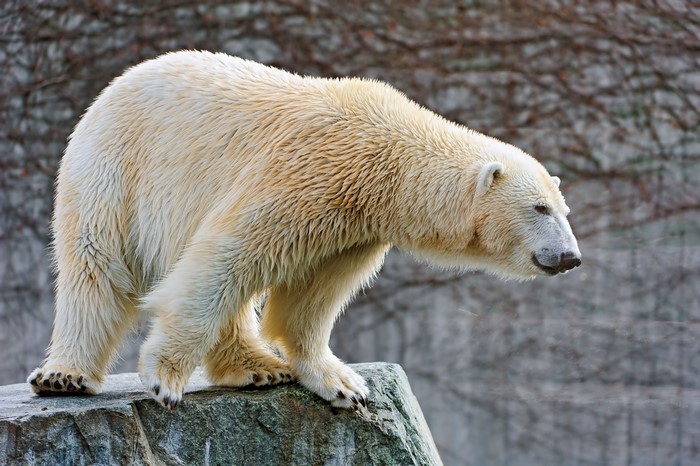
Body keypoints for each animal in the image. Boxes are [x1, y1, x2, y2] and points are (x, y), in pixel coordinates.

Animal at [27, 51, 581, 410]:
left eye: (564, 210)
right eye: (538, 208)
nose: (570, 257)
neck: (386, 157)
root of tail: (114, 85)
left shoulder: (351, 225)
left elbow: (311, 296)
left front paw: (343, 384)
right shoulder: (304, 175)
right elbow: (224, 259)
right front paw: (164, 378)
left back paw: (256, 367)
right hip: (116, 168)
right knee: (96, 264)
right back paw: (64, 375)